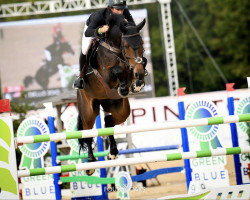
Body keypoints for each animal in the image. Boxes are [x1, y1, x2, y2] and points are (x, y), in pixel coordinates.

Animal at [77, 14, 146, 175]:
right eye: (126, 45)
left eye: (142, 43)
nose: (139, 73)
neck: (116, 50)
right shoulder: (106, 76)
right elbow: (117, 70)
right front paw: (125, 86)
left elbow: (140, 64)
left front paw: (136, 84)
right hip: (88, 110)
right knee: (87, 132)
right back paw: (90, 163)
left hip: (119, 108)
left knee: (109, 121)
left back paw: (112, 153)